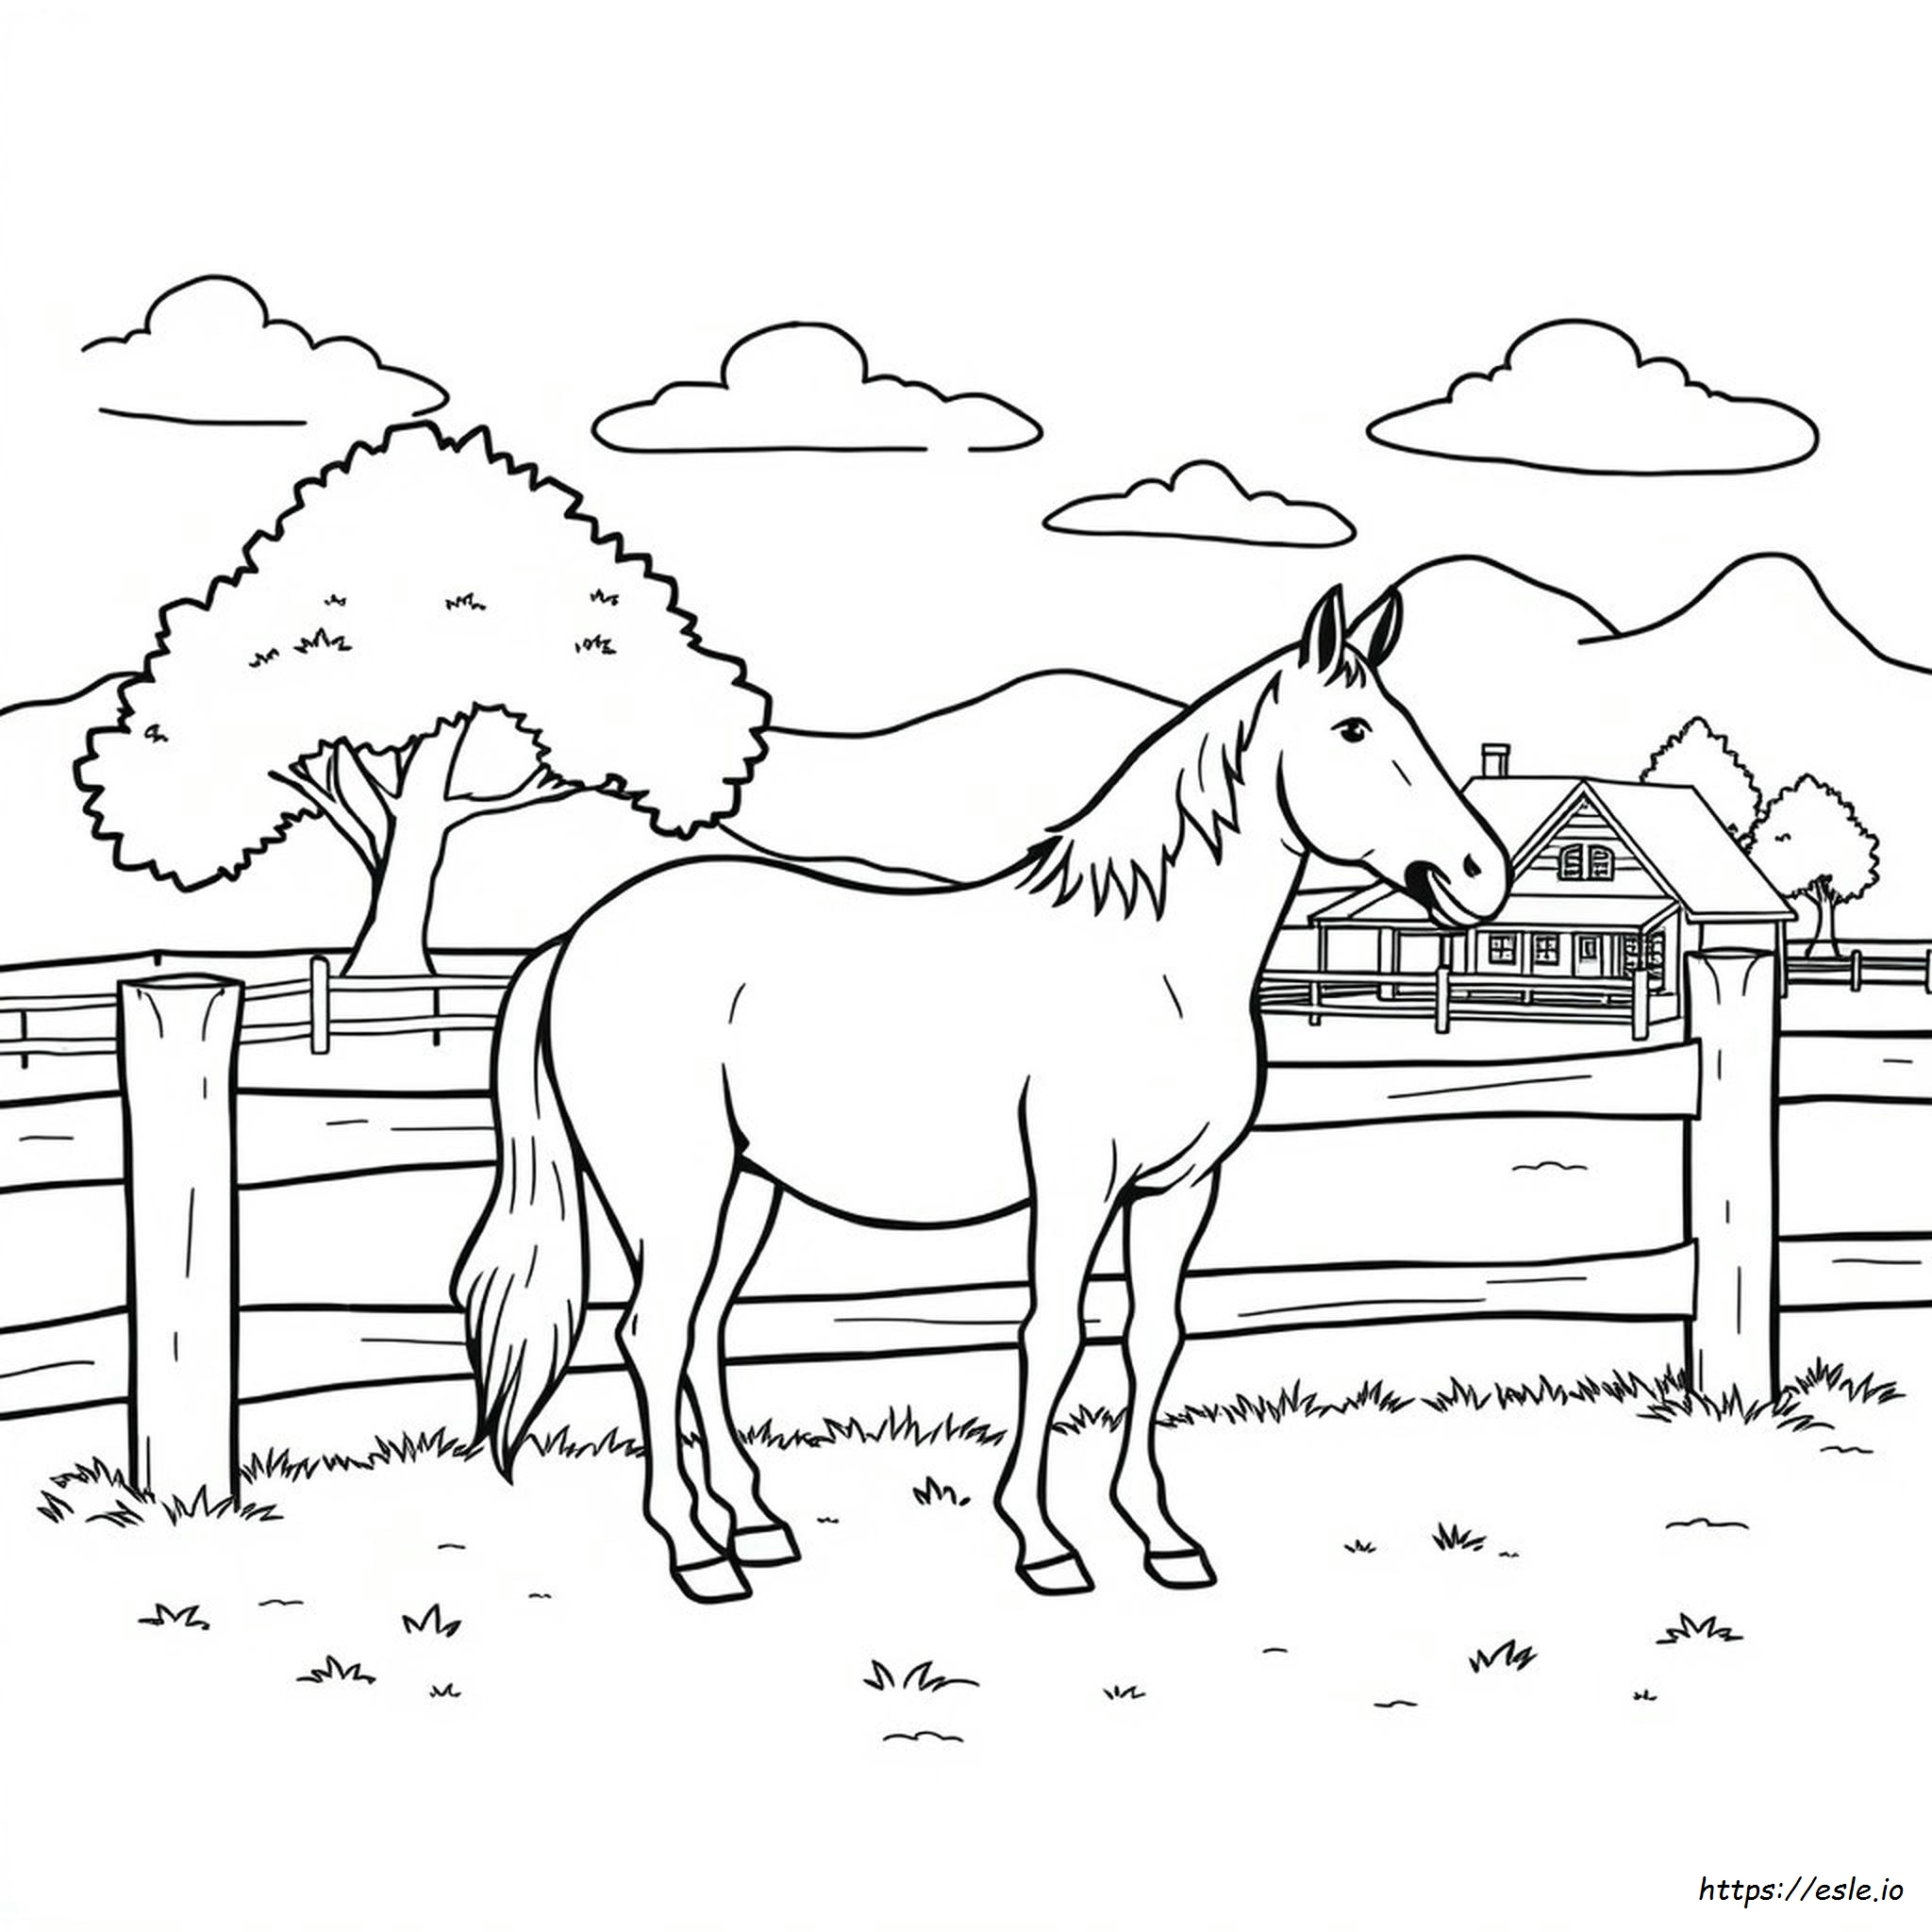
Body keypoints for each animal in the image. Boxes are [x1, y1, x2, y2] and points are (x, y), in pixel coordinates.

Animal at [453, 583, 1510, 1603]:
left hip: (744, 1186)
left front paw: (1162, 1537)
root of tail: (575, 938)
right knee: (652, 1332)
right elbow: (1052, 1335)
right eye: (1352, 731)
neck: (1150, 962)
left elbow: (1155, 1338)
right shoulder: (1077, 1181)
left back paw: (751, 1523)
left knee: (704, 1329)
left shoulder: (1179, 1188)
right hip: (674, 1184)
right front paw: (1043, 1543)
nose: (1479, 874)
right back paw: (696, 1553)